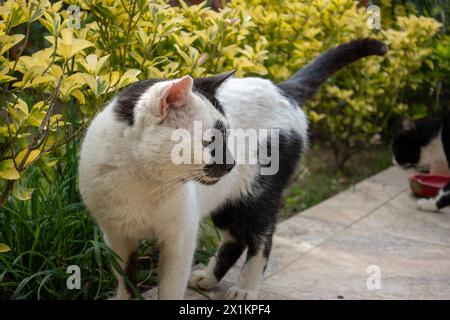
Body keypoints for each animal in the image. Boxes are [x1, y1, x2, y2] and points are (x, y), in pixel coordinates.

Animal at [78, 38, 386, 300]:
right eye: (211, 141)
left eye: (228, 136)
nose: (232, 163)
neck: (141, 183)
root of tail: (281, 88)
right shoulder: (117, 238)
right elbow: (126, 283)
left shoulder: (181, 236)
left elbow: (170, 287)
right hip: (227, 203)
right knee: (236, 239)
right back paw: (209, 278)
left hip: (261, 195)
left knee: (262, 240)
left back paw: (245, 289)